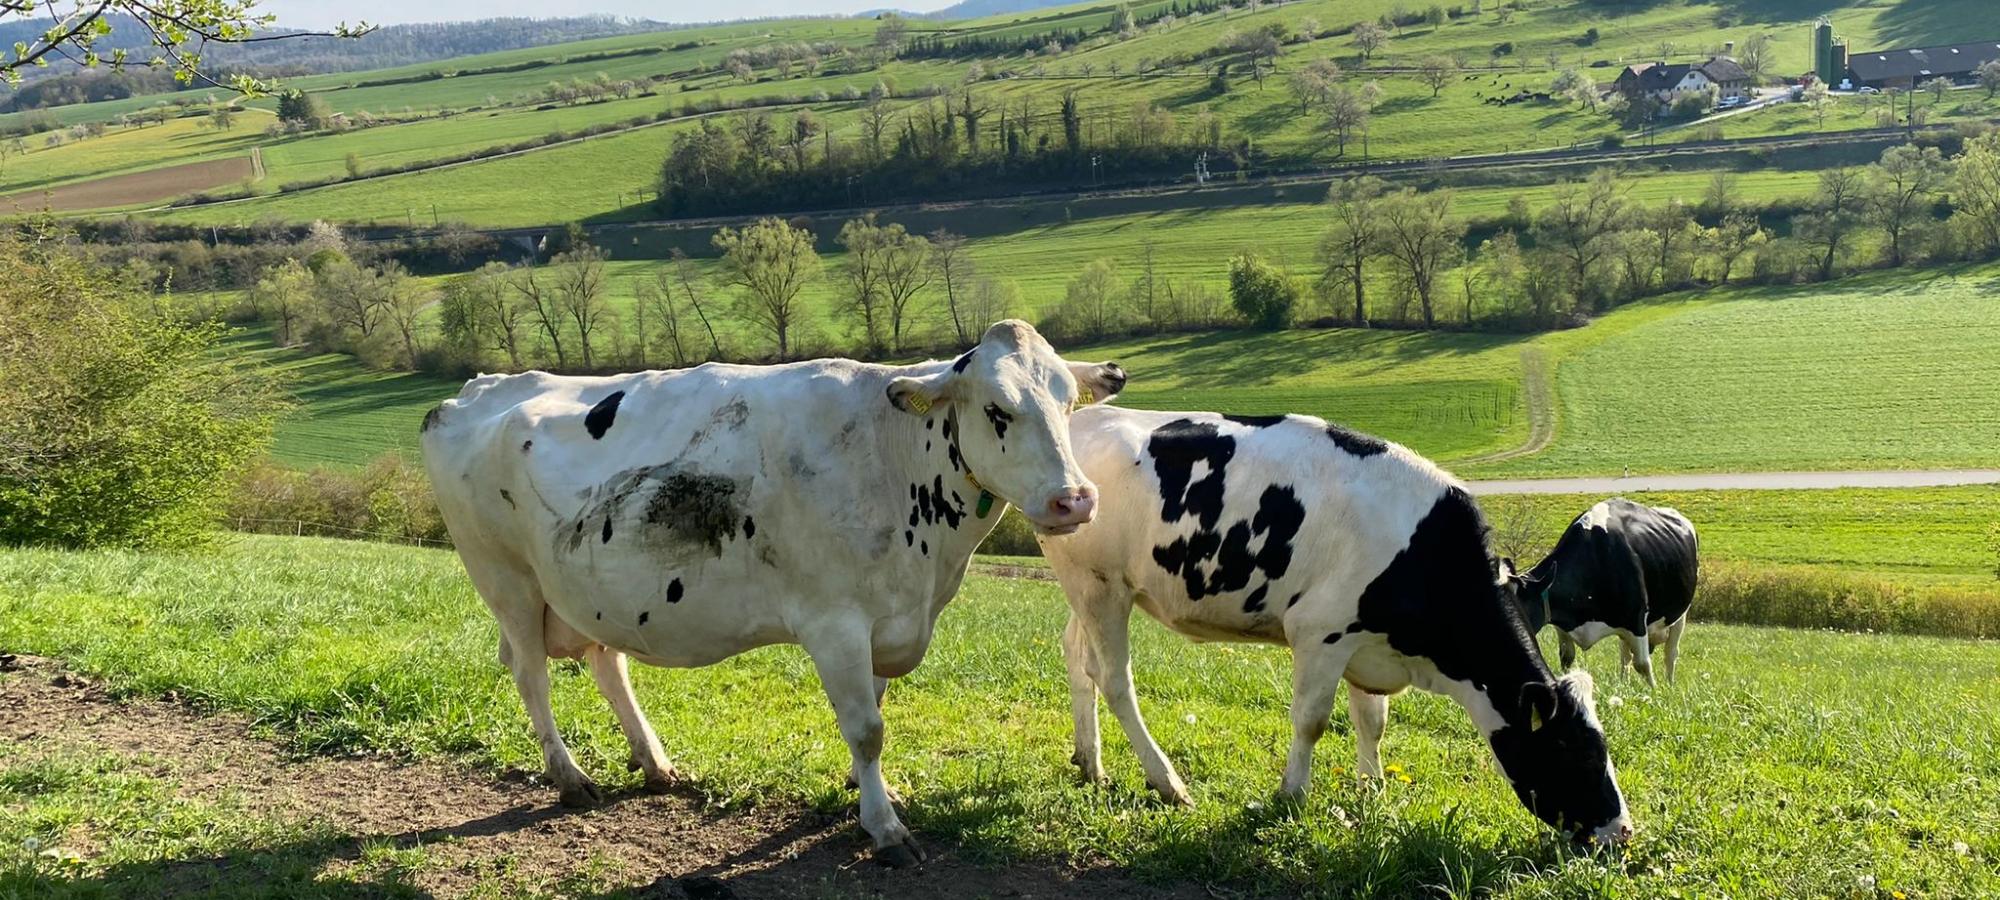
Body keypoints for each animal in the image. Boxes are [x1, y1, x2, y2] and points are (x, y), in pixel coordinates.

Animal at [420, 321, 1128, 867]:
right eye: (997, 410)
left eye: (1068, 403)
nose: (1075, 499)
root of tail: (474, 391)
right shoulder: (835, 621)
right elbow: (867, 728)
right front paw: (885, 828)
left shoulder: (888, 617)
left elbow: (873, 713)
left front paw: (864, 794)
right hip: (506, 580)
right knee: (531, 675)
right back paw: (570, 778)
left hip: (589, 587)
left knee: (606, 662)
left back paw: (655, 763)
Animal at [1037, 408, 1633, 844]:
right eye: (1577, 751)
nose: (1622, 833)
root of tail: (1085, 416)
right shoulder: (1320, 632)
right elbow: (1312, 721)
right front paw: (1292, 795)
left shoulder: (1366, 645)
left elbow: (1373, 721)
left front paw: (1373, 790)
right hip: (1099, 585)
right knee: (1116, 680)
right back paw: (1168, 785)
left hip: (1093, 589)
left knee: (1079, 660)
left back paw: (1090, 763)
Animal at [1509, 498, 1698, 687]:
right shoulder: (1561, 625)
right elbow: (1566, 658)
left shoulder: (1636, 619)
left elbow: (1643, 664)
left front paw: (1655, 691)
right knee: (1625, 656)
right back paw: (1624, 684)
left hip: (1680, 614)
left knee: (1670, 653)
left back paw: (1669, 684)